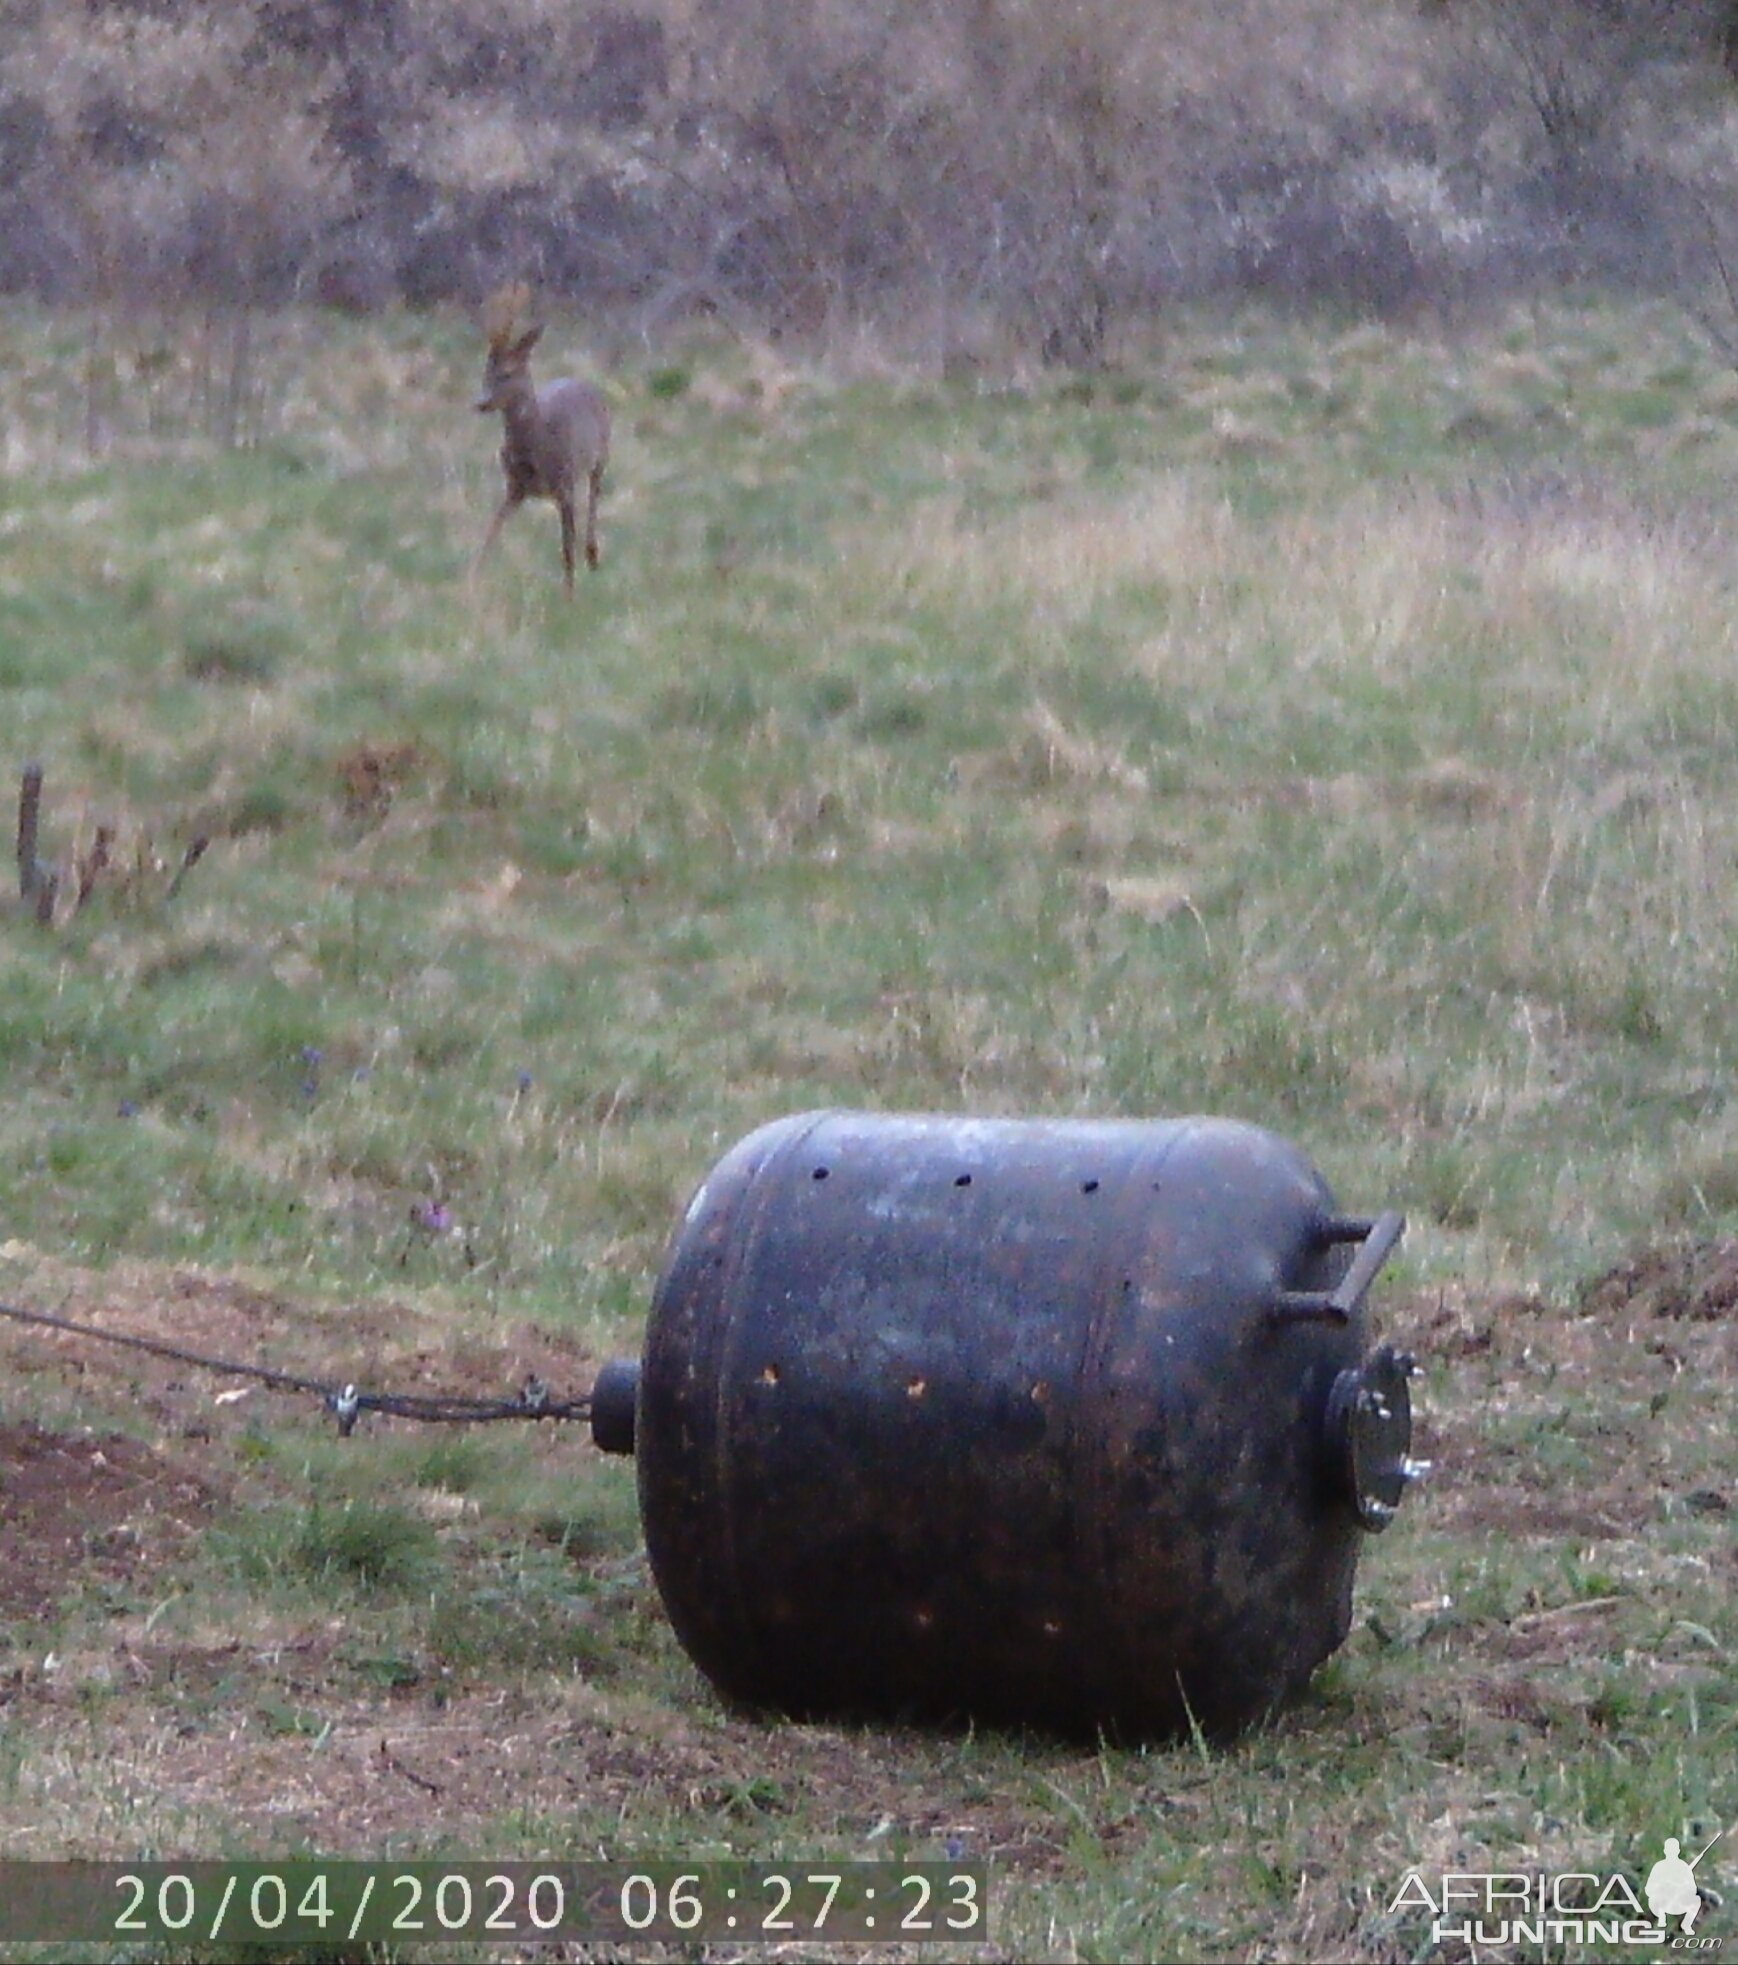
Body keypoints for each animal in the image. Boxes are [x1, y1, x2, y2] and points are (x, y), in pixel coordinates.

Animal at [475, 284, 609, 589]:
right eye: (485, 373)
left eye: (507, 373)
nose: (481, 402)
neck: (537, 444)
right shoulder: (515, 488)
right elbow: (489, 535)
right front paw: (472, 583)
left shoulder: (564, 484)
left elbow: (567, 550)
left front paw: (570, 594)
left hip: (601, 455)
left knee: (593, 496)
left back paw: (593, 554)